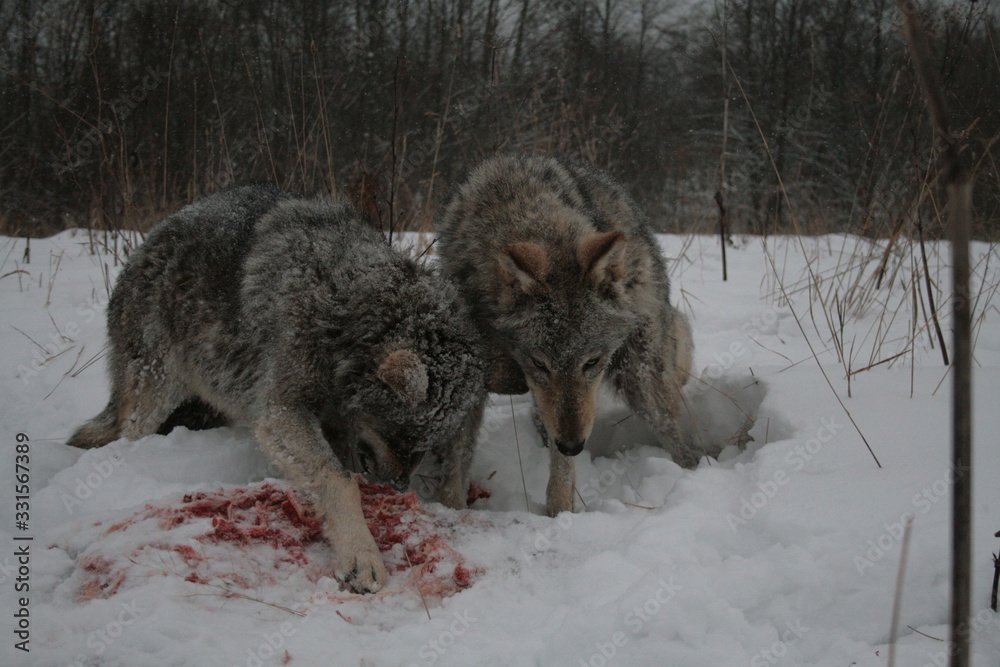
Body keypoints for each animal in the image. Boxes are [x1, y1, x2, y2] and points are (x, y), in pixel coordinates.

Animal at [68, 185, 486, 593]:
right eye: (401, 437)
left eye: (423, 446)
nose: (400, 488)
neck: (342, 307)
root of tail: (147, 242)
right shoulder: (280, 413)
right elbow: (340, 481)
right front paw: (360, 554)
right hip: (155, 393)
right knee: (127, 432)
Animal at [436, 154, 694, 516]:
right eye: (539, 364)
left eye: (593, 362)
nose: (573, 445)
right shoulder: (475, 375)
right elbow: (456, 462)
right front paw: (450, 510)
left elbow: (562, 470)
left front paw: (560, 513)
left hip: (641, 380)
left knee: (681, 440)